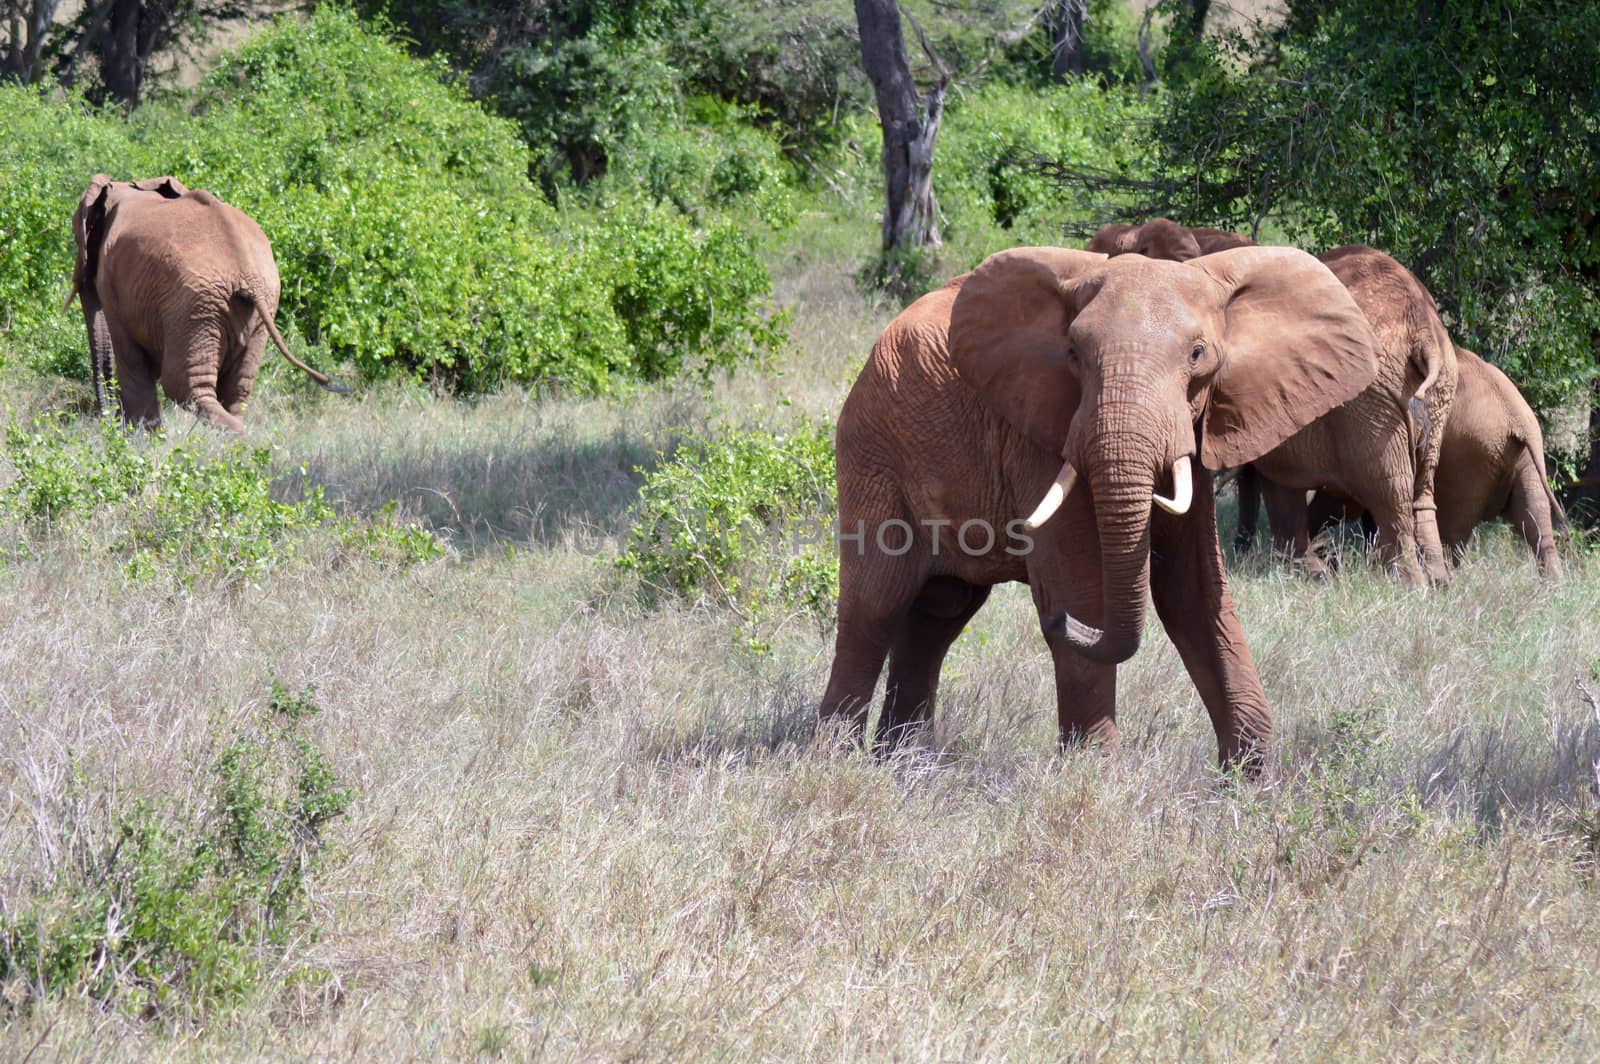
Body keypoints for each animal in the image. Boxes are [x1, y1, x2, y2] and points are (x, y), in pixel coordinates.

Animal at [69, 174, 347, 432]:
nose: (108, 420)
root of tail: (248, 275)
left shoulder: (112, 283)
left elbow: (132, 361)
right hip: (254, 307)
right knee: (236, 389)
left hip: (193, 307)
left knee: (185, 387)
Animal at [819, 246, 1382, 768]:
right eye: (1072, 352)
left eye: (1198, 354)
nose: (1052, 619)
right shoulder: (1043, 432)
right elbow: (1082, 585)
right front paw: (1097, 775)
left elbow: (1195, 592)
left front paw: (1252, 782)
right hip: (872, 451)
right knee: (875, 605)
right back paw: (837, 762)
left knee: (938, 615)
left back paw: (905, 766)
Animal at [1088, 217, 1465, 582]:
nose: (1238, 552)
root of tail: (1422, 329)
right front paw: (1307, 570)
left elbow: (1277, 475)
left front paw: (1303, 571)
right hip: (1438, 391)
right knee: (1422, 488)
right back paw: (1438, 580)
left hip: (1370, 403)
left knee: (1388, 490)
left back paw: (1408, 584)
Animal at [1241, 347, 1568, 582]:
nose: (1241, 552)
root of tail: (1518, 418)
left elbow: (1343, 502)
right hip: (1518, 457)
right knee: (1534, 518)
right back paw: (1554, 586)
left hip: (1469, 458)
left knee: (1454, 531)